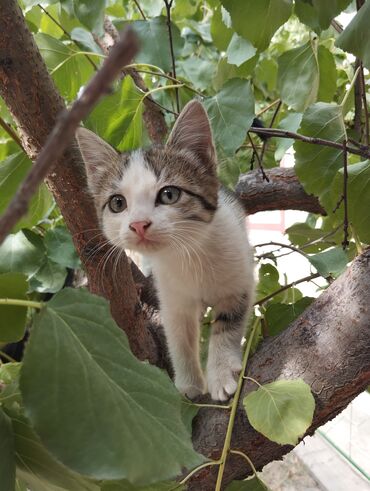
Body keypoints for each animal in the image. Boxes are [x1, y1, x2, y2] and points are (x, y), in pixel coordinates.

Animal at [75, 101, 254, 404]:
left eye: (169, 195)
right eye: (117, 203)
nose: (138, 224)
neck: (188, 253)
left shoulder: (239, 279)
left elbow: (227, 324)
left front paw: (220, 374)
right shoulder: (172, 298)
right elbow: (179, 337)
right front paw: (189, 384)